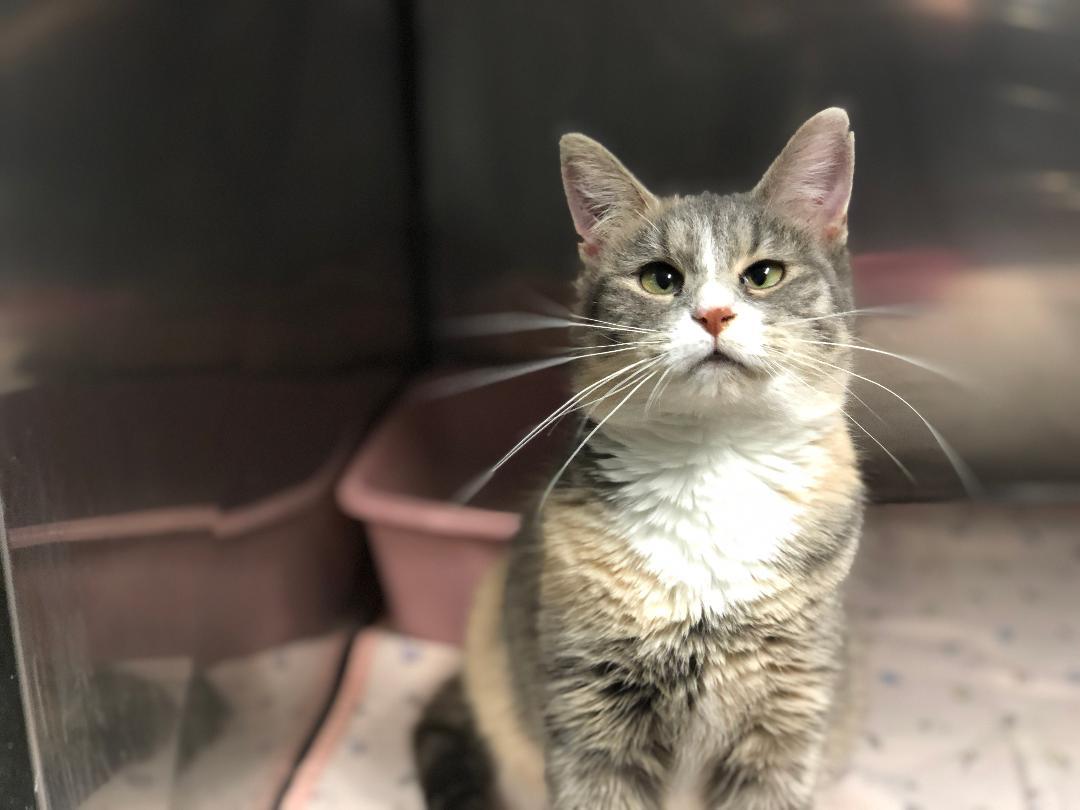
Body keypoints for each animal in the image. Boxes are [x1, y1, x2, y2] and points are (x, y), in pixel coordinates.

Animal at [416, 109, 864, 810]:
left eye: (764, 274)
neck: (712, 463)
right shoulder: (589, 705)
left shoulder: (787, 710)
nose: (714, 314)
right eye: (660, 278)